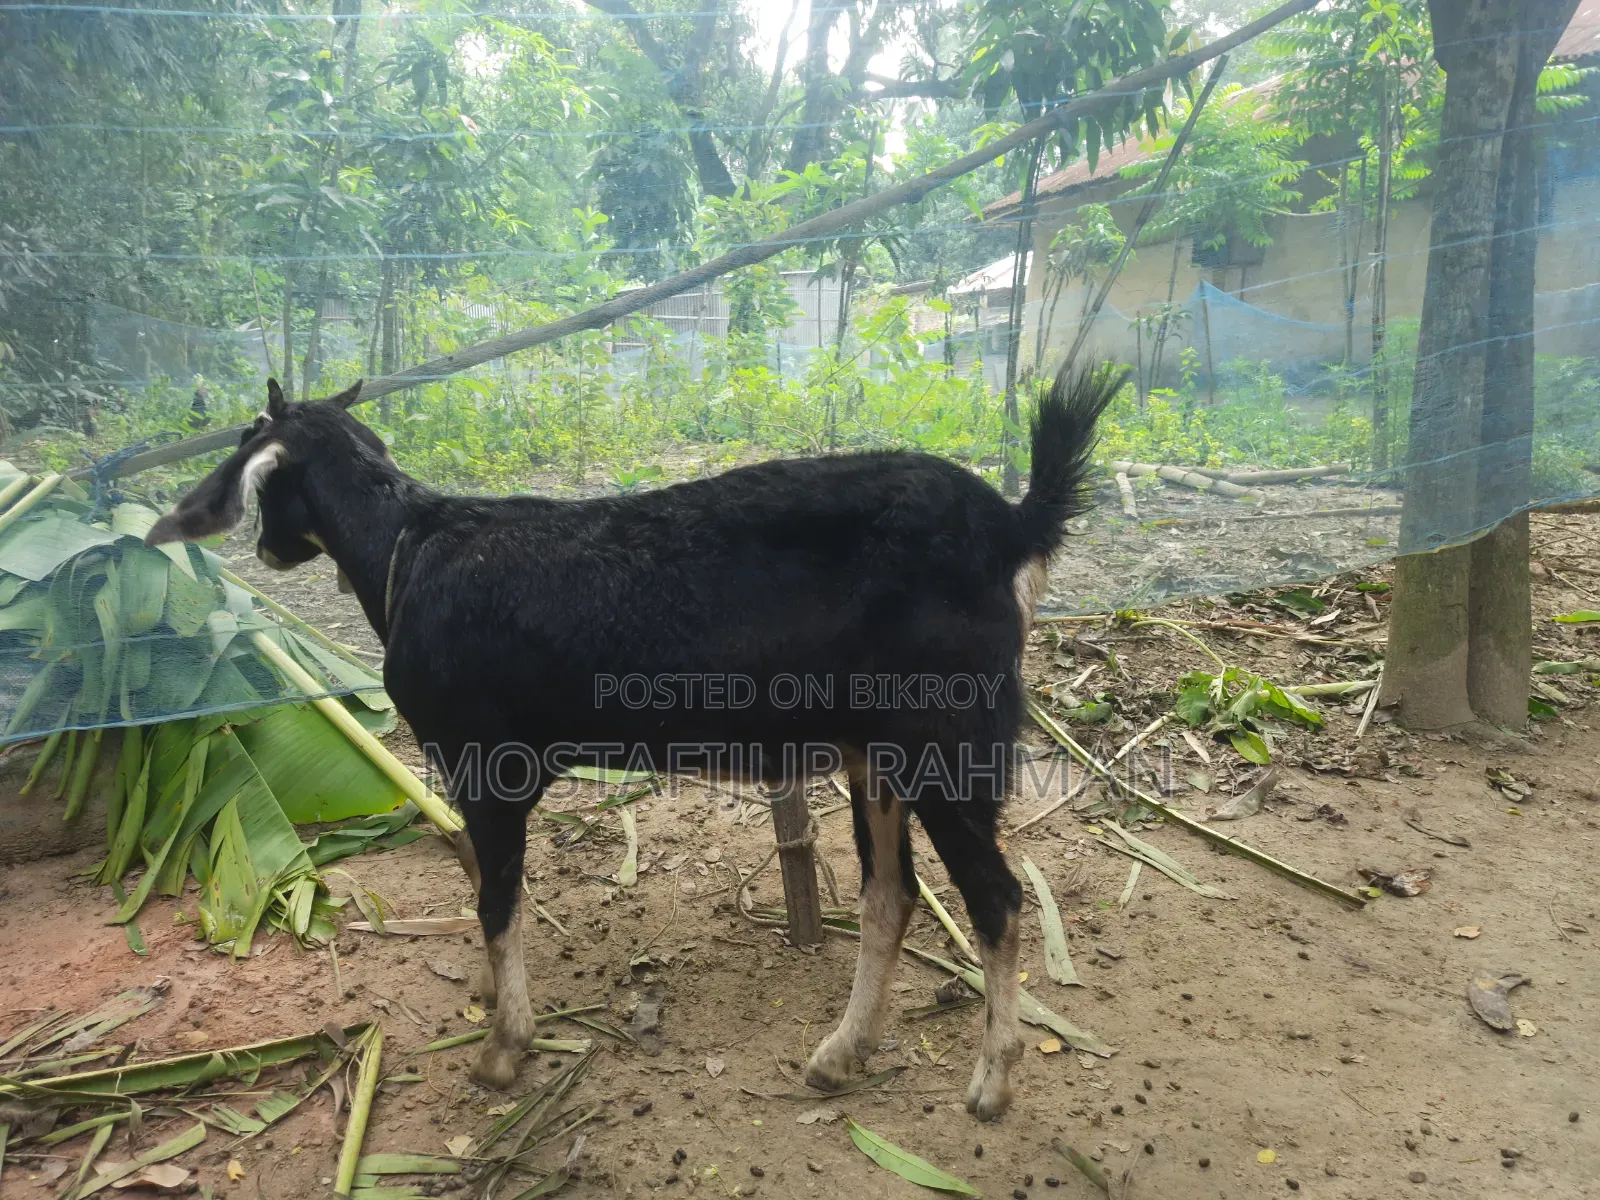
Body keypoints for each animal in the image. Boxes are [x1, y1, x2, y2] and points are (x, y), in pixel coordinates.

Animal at [146, 363, 1119, 1119]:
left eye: (264, 476)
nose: (268, 553)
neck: (407, 551)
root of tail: (1013, 525)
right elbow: (484, 882)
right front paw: (492, 1003)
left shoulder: (486, 759)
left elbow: (495, 896)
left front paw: (504, 1047)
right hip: (873, 746)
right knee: (894, 894)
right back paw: (839, 1055)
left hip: (944, 735)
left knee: (995, 897)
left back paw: (990, 1083)